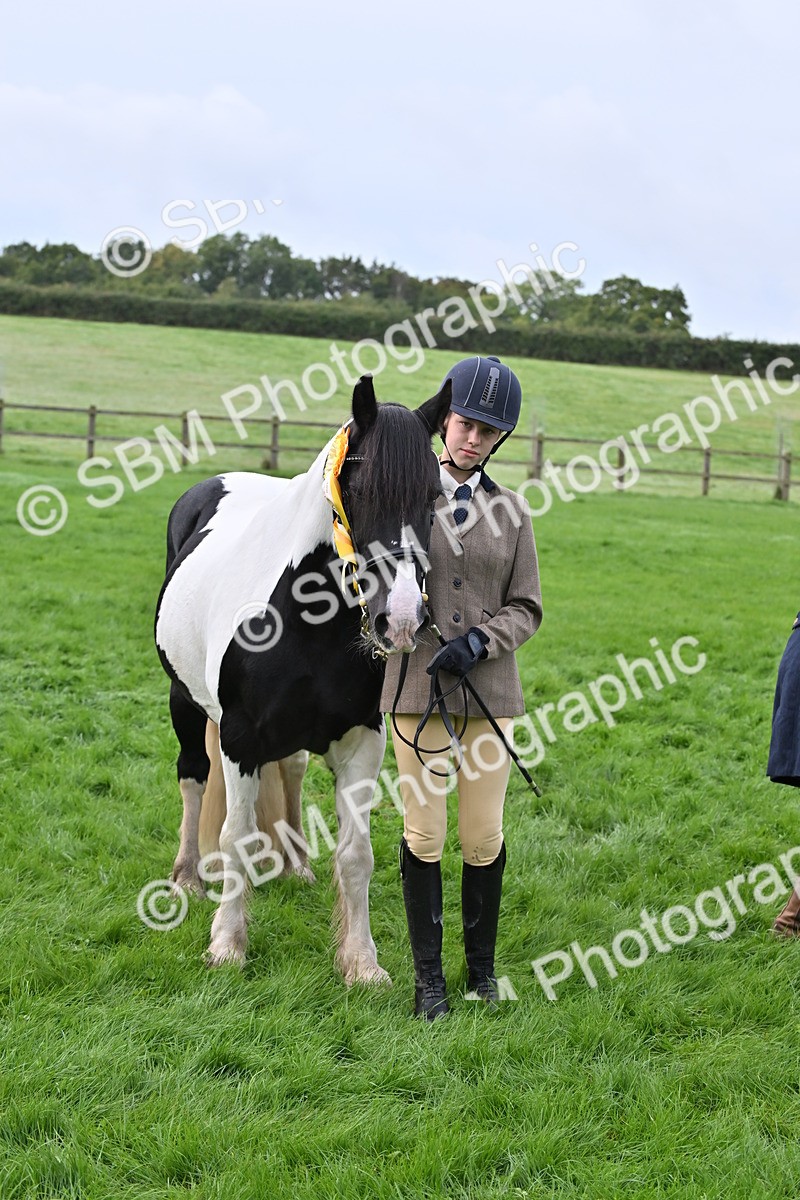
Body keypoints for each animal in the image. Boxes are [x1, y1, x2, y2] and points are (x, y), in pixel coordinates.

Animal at [154, 374, 451, 983]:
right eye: (357, 490)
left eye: (434, 496)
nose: (401, 620)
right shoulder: (238, 739)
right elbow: (235, 836)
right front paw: (227, 945)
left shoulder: (362, 741)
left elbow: (356, 853)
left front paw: (361, 963)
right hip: (185, 703)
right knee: (193, 777)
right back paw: (189, 875)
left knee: (289, 768)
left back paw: (294, 864)